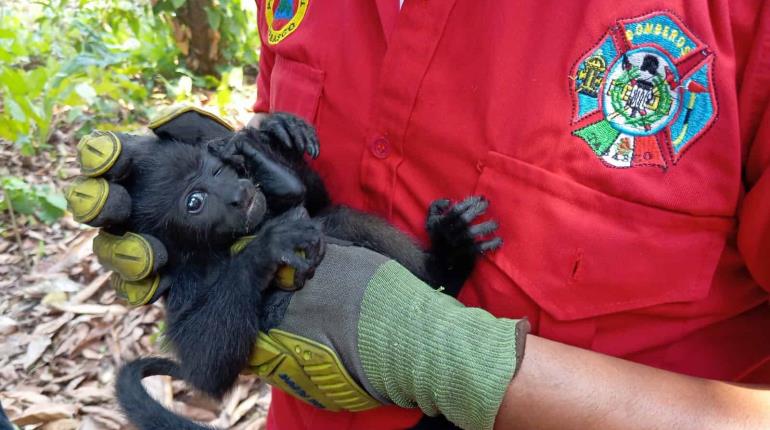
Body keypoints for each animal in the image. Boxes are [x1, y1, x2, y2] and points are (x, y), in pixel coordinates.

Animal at [114, 114, 498, 430]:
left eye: (218, 171)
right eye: (195, 201)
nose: (237, 193)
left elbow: (314, 202)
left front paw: (268, 143)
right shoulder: (187, 280)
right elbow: (205, 367)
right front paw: (266, 248)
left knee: (339, 218)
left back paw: (448, 256)